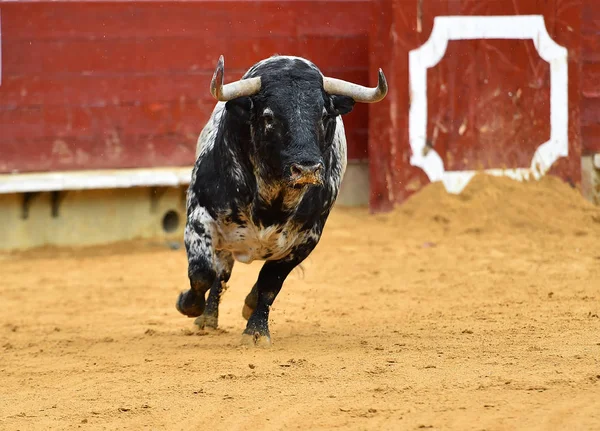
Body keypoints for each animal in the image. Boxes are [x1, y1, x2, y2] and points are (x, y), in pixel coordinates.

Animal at [176, 54, 386, 348]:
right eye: (268, 116)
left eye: (324, 115)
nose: (307, 168)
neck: (271, 199)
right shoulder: (199, 216)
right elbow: (202, 272)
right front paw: (188, 304)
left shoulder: (305, 239)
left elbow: (270, 283)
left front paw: (255, 330)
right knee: (220, 271)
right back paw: (206, 319)